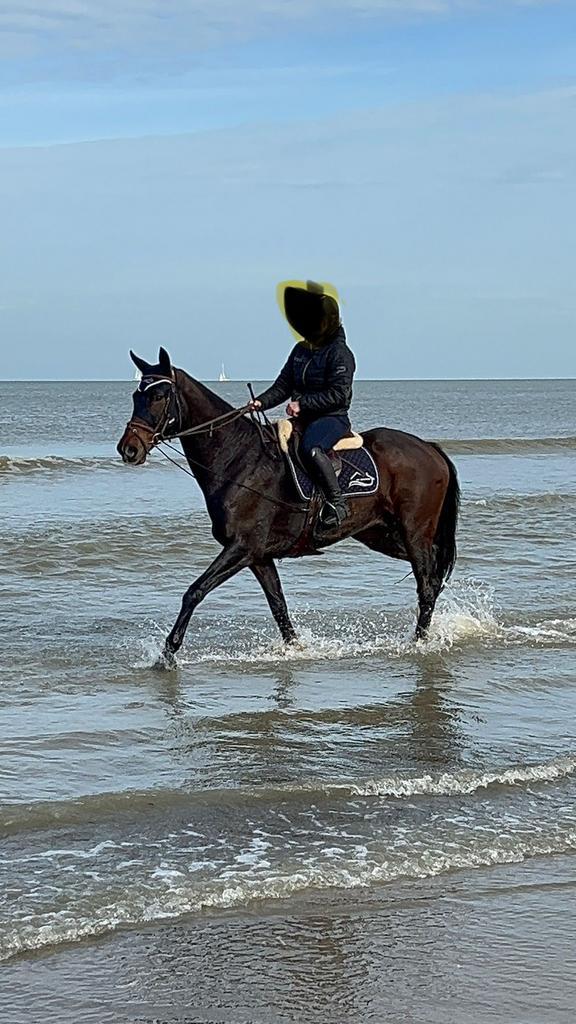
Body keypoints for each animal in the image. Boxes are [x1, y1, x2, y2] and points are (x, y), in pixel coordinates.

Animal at [117, 347, 460, 666]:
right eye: (136, 395)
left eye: (159, 396)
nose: (129, 449)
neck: (238, 458)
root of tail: (430, 449)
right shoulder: (258, 556)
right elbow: (278, 606)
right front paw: (296, 650)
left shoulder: (240, 548)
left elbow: (195, 592)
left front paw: (167, 653)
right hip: (384, 535)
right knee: (432, 575)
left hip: (413, 532)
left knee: (426, 585)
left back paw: (420, 643)